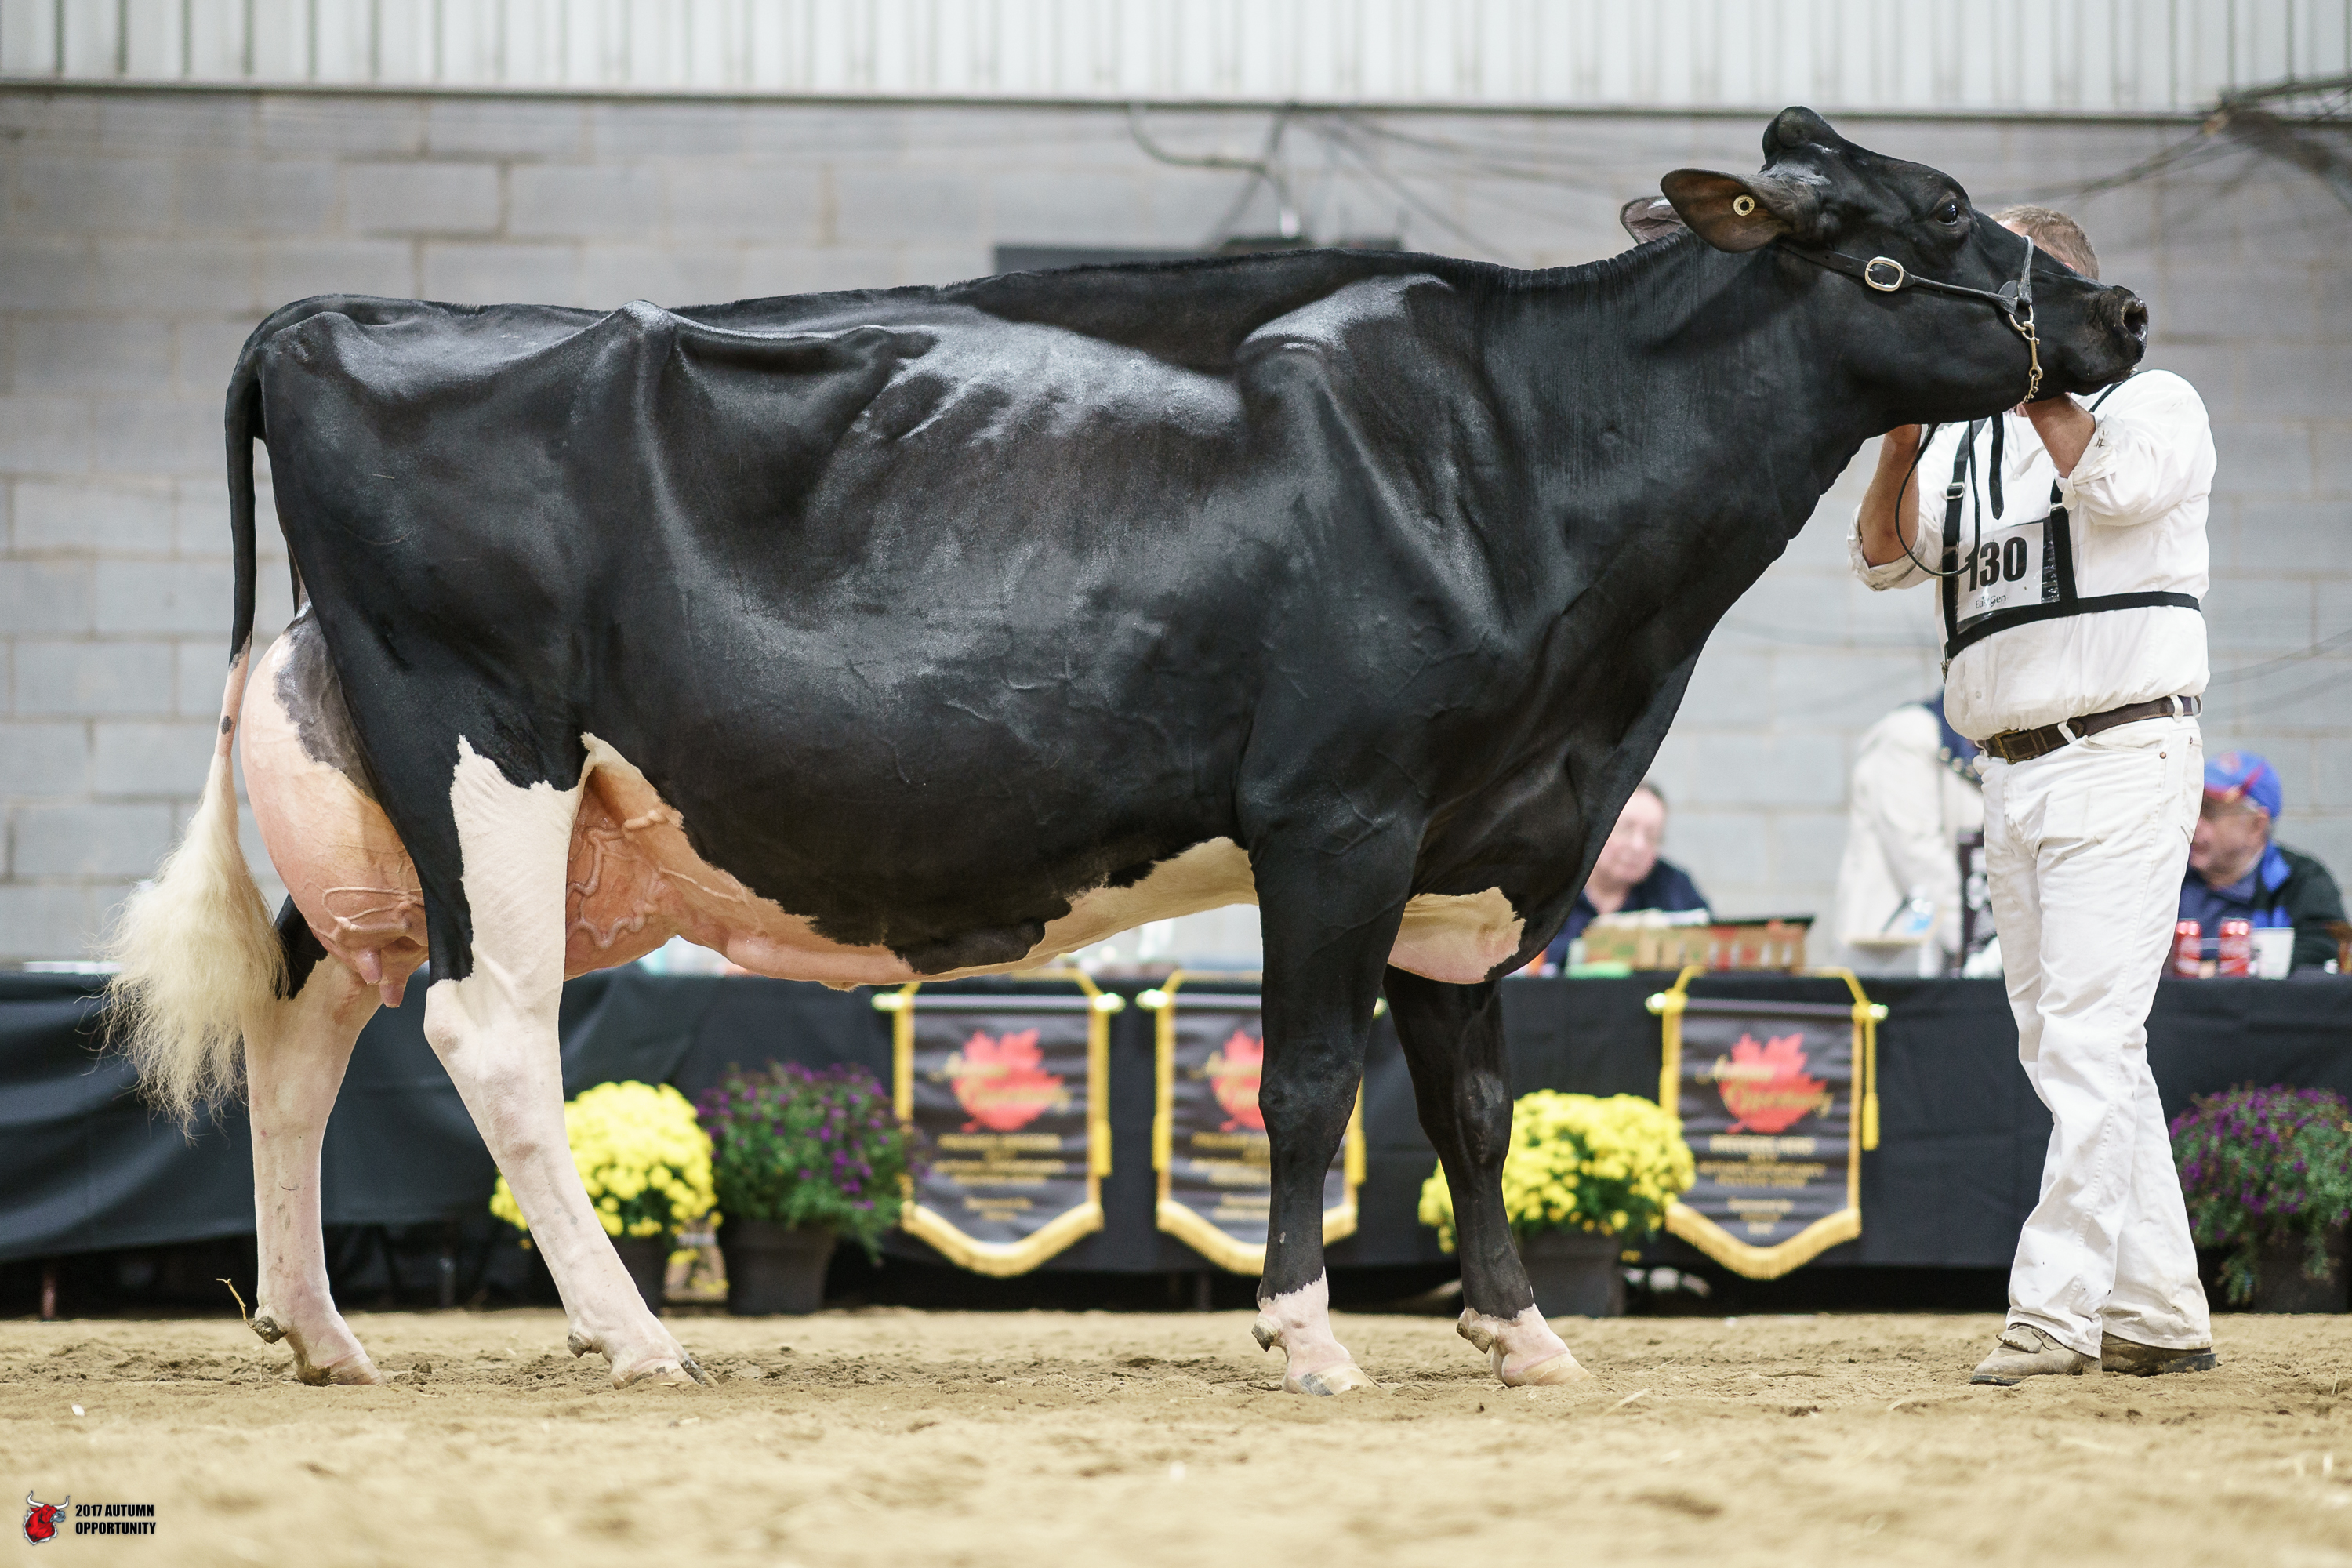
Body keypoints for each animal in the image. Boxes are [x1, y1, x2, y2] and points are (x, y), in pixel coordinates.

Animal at [107, 108, 2145, 1393]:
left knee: (304, 1028)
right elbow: (1312, 1088)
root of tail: (332, 321)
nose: (2116, 311)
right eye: (1913, 236)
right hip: (486, 757)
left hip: (388, 816)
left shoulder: (1475, 846)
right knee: (492, 1034)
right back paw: (633, 1332)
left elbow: (1477, 1110)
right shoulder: (1339, 813)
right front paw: (1305, 1333)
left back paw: (321, 1331)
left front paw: (1521, 1334)